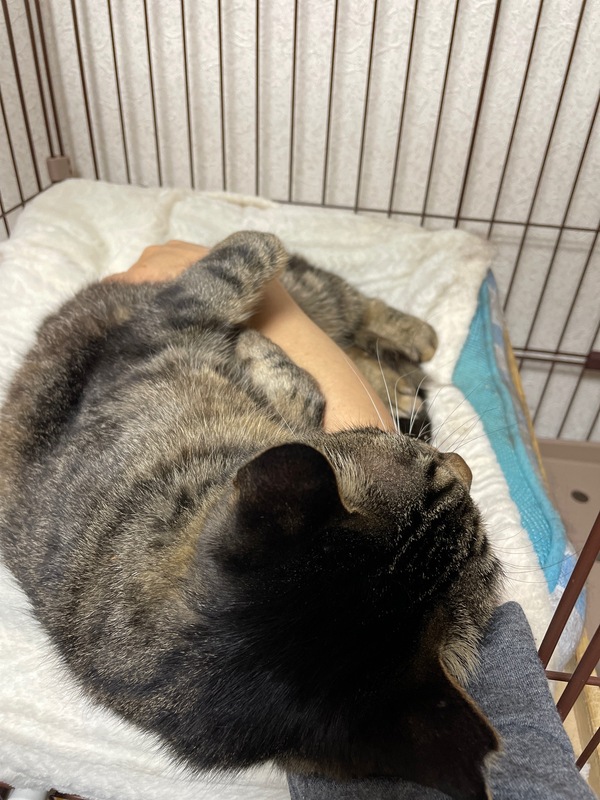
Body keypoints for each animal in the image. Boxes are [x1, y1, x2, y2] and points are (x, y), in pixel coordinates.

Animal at [0, 231, 501, 800]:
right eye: (433, 468)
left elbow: (251, 263)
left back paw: (412, 346)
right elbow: (259, 279)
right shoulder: (161, 331)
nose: (463, 466)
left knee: (353, 308)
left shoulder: (164, 327)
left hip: (315, 293)